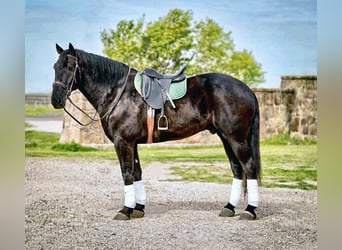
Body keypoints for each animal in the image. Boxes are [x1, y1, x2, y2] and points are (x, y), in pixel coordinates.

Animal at [50, 43, 260, 221]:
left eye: (70, 67)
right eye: (55, 67)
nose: (56, 100)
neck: (118, 92)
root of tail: (247, 90)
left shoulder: (123, 142)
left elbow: (127, 173)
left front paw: (125, 210)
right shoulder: (132, 143)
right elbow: (137, 173)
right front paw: (138, 208)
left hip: (236, 139)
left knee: (249, 167)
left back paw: (250, 210)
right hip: (226, 137)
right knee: (237, 168)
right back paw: (229, 207)